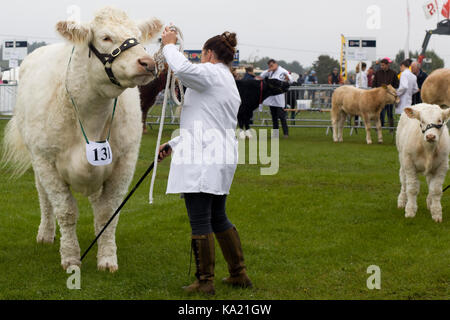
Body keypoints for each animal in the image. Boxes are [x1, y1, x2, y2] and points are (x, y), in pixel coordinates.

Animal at [1, 6, 163, 272]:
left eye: (138, 36)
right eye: (106, 37)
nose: (148, 64)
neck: (91, 116)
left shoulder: (124, 163)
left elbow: (108, 212)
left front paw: (107, 257)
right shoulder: (47, 163)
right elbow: (66, 211)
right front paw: (70, 258)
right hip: (36, 160)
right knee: (43, 197)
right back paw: (45, 233)